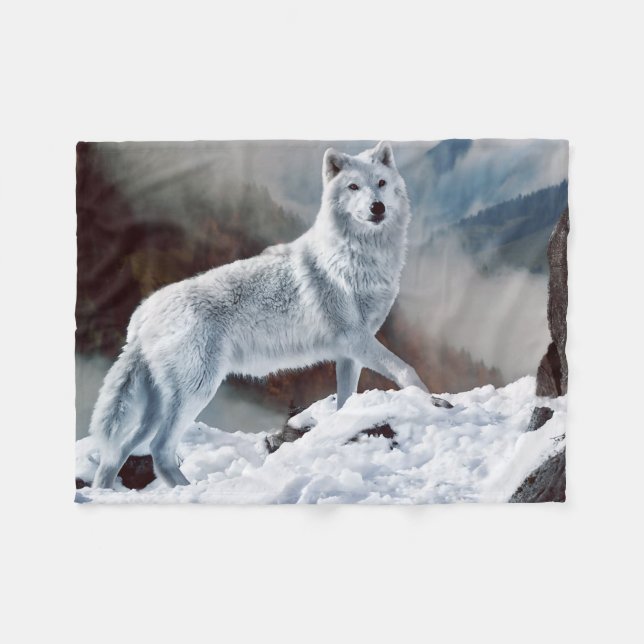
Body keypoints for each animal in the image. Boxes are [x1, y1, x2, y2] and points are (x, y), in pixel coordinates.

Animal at [89, 141, 451, 489]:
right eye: (353, 187)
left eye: (381, 183)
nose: (378, 207)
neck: (356, 258)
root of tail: (142, 313)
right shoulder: (355, 339)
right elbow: (406, 370)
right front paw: (433, 401)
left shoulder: (349, 353)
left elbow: (345, 401)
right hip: (197, 391)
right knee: (158, 449)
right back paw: (189, 490)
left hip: (159, 405)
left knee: (119, 450)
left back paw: (102, 492)